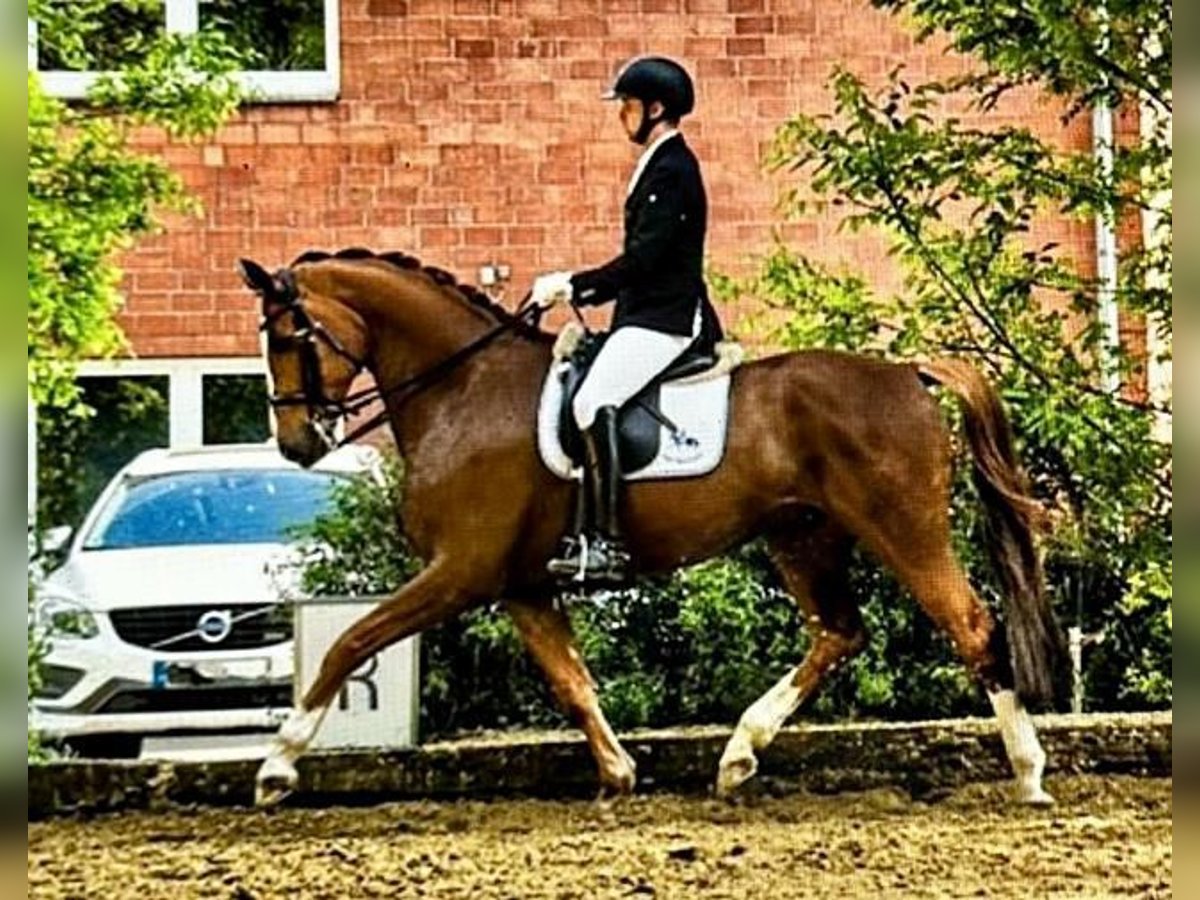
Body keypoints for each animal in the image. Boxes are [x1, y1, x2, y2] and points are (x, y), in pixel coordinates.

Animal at [238, 248, 1065, 811]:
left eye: (288, 338)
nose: (298, 444)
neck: (461, 388)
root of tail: (905, 373)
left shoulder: (459, 571)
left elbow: (350, 644)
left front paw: (277, 766)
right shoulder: (521, 585)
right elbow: (572, 683)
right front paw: (618, 774)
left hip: (901, 527)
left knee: (971, 627)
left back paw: (1028, 773)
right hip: (803, 534)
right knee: (839, 632)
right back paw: (739, 754)